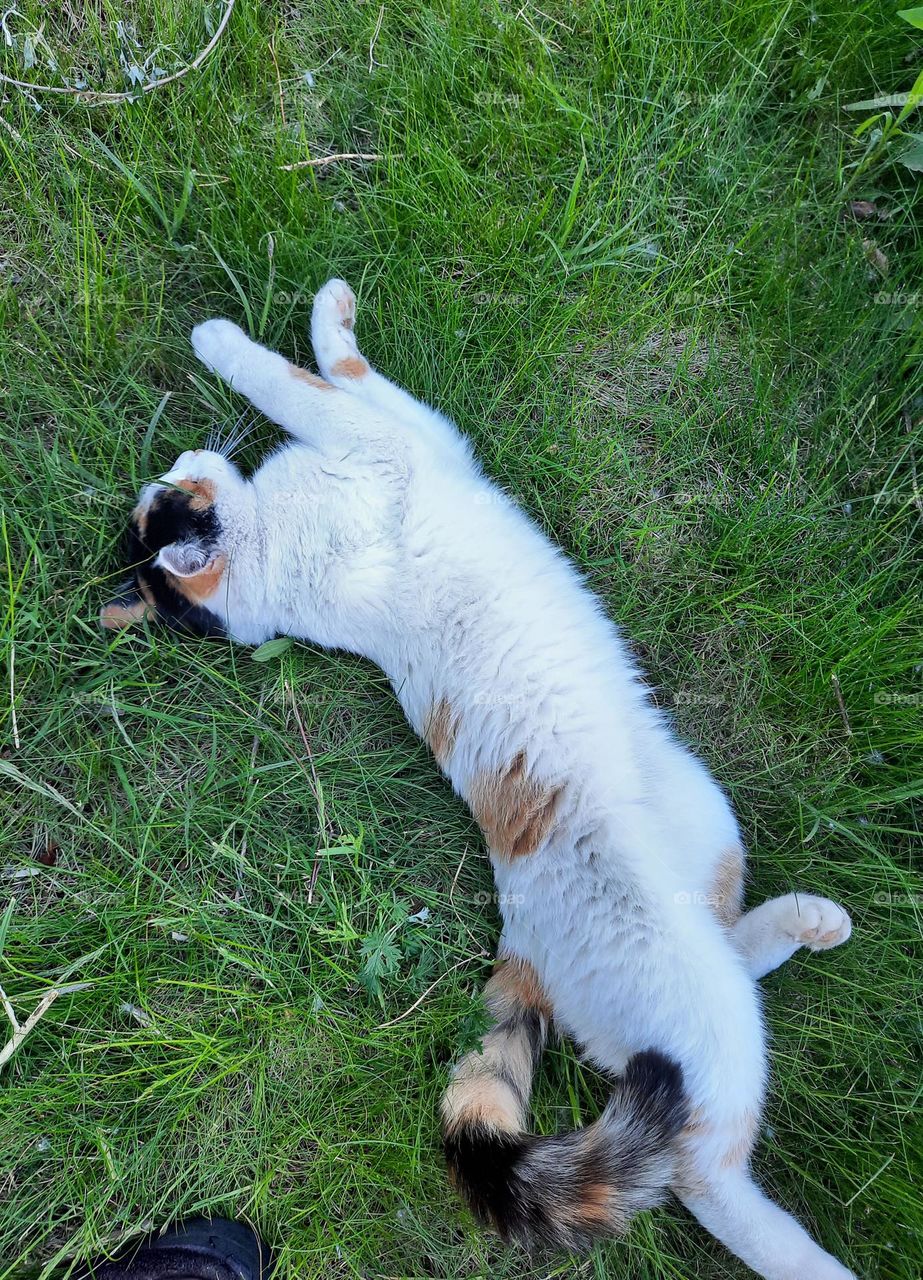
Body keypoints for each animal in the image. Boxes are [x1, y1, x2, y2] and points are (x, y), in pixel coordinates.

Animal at [104, 280, 855, 1280]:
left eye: (164, 496)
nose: (172, 464)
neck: (276, 561)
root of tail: (525, 940)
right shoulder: (381, 442)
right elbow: (295, 380)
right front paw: (222, 337)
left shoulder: (412, 430)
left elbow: (340, 368)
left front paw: (323, 313)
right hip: (695, 1018)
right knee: (705, 1168)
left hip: (709, 820)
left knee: (735, 944)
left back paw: (811, 922)